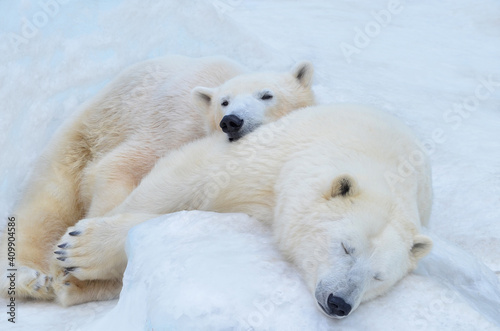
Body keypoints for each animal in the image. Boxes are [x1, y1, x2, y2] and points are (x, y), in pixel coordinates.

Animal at [0, 54, 316, 304]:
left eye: (267, 95)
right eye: (224, 102)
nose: (232, 121)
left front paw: (78, 278)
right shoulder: (173, 126)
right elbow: (120, 168)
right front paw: (74, 257)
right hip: (82, 138)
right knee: (45, 208)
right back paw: (31, 279)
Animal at [51, 104, 434, 314]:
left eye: (379, 277)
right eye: (345, 247)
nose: (339, 303)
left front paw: (81, 259)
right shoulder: (273, 161)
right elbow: (187, 177)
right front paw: (80, 246)